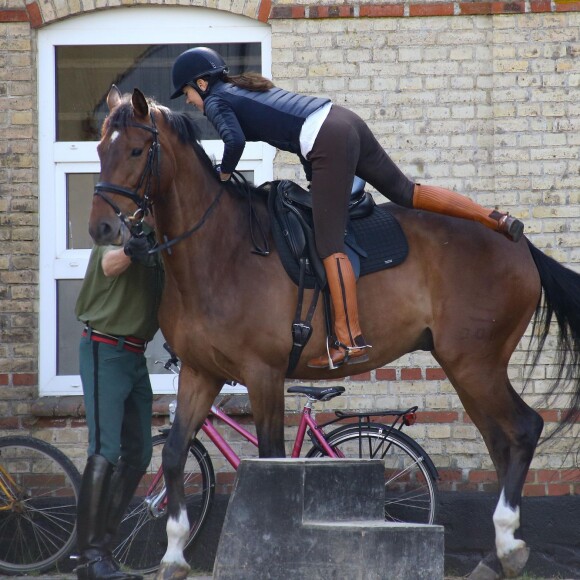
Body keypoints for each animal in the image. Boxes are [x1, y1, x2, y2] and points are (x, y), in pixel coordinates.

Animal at [87, 87, 580, 580]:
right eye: (99, 150)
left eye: (135, 151)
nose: (101, 228)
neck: (217, 251)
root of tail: (520, 248)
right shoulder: (199, 372)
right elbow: (174, 453)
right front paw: (173, 553)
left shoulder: (263, 374)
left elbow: (270, 459)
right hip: (469, 367)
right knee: (501, 440)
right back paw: (496, 554)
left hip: (474, 363)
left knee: (523, 429)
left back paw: (509, 544)